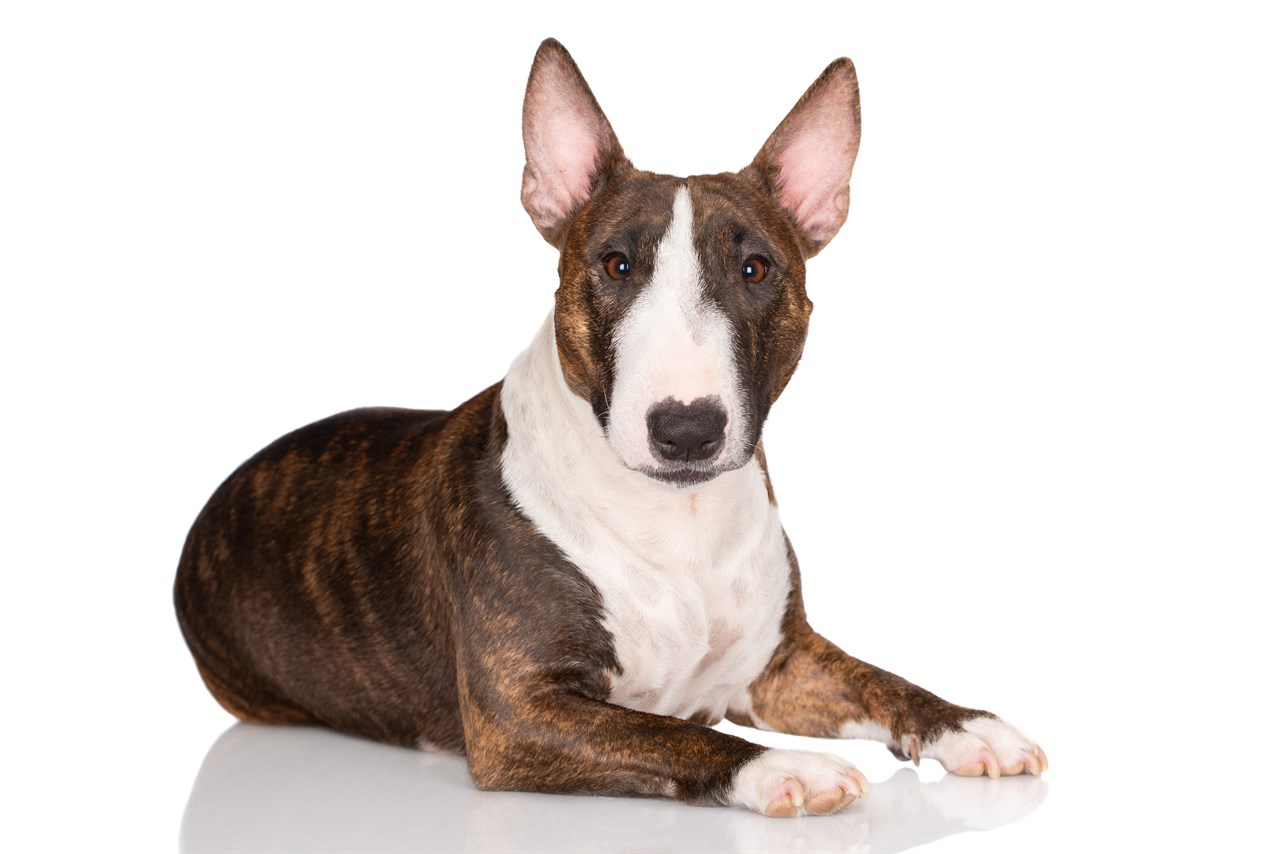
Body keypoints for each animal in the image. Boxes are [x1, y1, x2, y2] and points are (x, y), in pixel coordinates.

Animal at [175, 39, 1043, 818]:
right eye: (616, 264)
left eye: (755, 268)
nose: (686, 430)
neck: (678, 523)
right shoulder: (516, 715)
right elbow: (673, 736)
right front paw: (781, 768)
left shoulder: (779, 664)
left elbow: (879, 677)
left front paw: (969, 727)